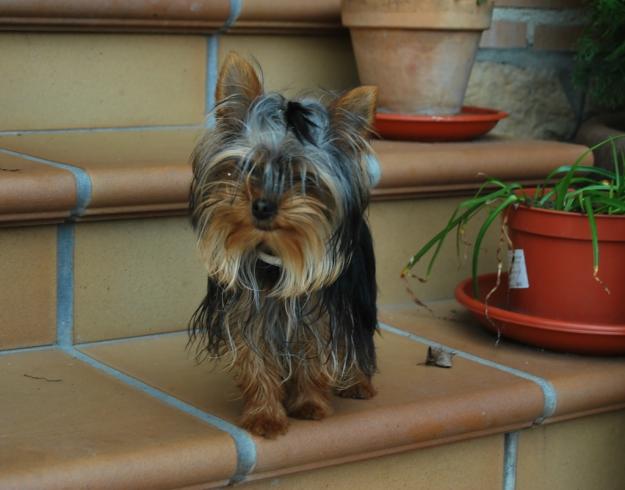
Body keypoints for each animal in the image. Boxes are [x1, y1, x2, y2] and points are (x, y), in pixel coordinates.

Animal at [188, 51, 378, 438]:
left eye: (303, 178)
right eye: (246, 168)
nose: (262, 206)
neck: (274, 252)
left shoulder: (323, 314)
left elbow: (316, 355)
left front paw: (309, 404)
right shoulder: (246, 313)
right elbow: (255, 361)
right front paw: (265, 415)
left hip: (360, 296)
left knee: (357, 339)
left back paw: (357, 382)